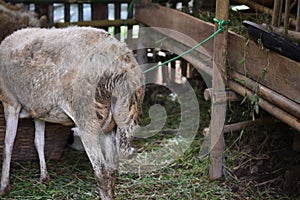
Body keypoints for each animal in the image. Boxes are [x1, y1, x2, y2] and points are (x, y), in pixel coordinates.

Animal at [0, 25, 144, 199]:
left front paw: (4, 187)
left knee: (101, 172)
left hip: (87, 119)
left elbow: (8, 144)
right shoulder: (39, 109)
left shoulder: (10, 101)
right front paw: (44, 178)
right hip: (117, 120)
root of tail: (121, 66)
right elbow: (39, 141)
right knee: (112, 169)